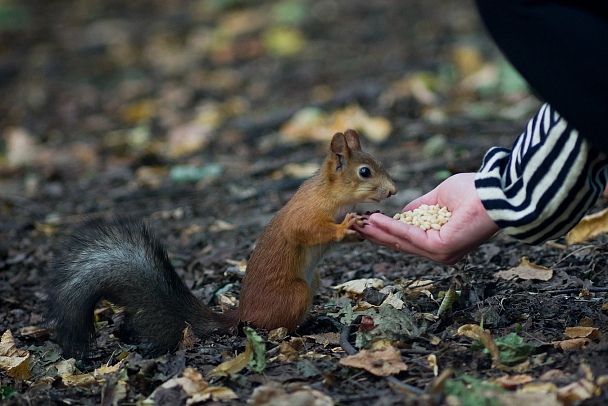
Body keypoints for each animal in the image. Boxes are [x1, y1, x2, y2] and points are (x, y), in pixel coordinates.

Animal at [45, 128, 396, 356]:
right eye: (365, 172)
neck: (334, 198)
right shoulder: (306, 213)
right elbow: (307, 231)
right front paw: (346, 227)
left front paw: (362, 223)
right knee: (274, 327)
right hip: (293, 293)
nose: (392, 191)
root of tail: (241, 315)